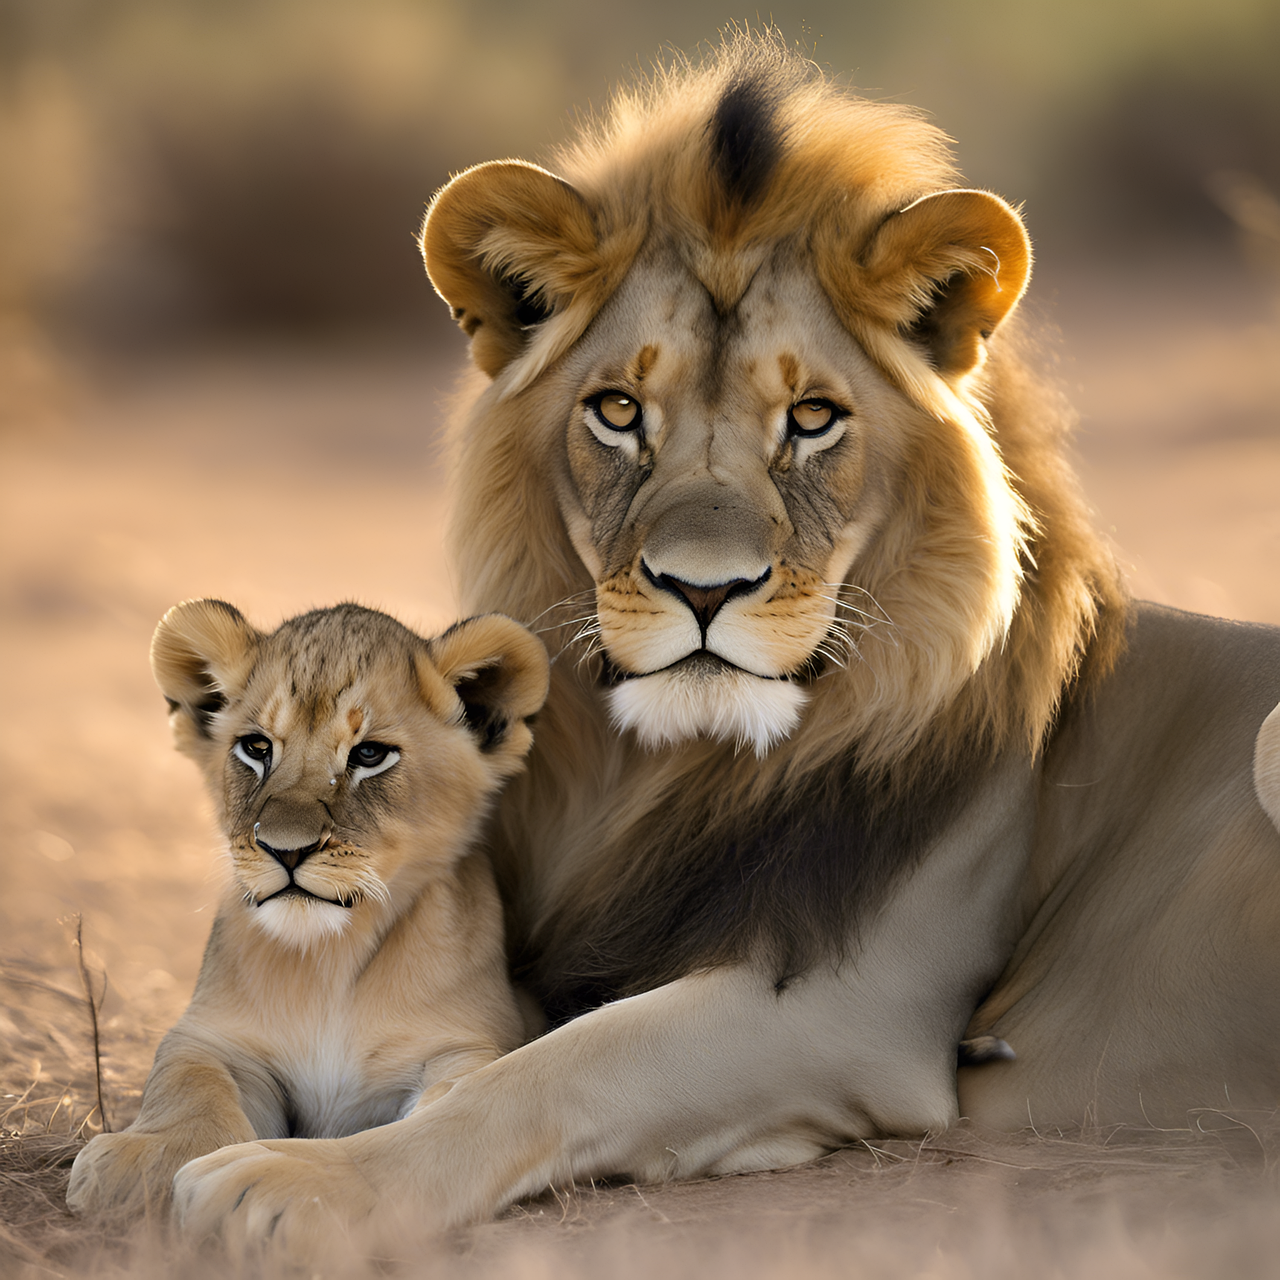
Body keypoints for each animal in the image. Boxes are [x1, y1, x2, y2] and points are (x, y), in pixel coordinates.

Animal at [66, 600, 548, 1217]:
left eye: (369, 754)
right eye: (256, 748)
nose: (285, 849)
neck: (329, 960)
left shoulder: (465, 1044)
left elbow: (459, 1097)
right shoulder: (211, 1037)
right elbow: (187, 1081)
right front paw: (143, 1159)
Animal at [168, 34, 1280, 1255]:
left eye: (811, 418)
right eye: (616, 411)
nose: (705, 589)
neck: (663, 771)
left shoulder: (854, 1007)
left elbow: (557, 1065)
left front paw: (295, 1181)